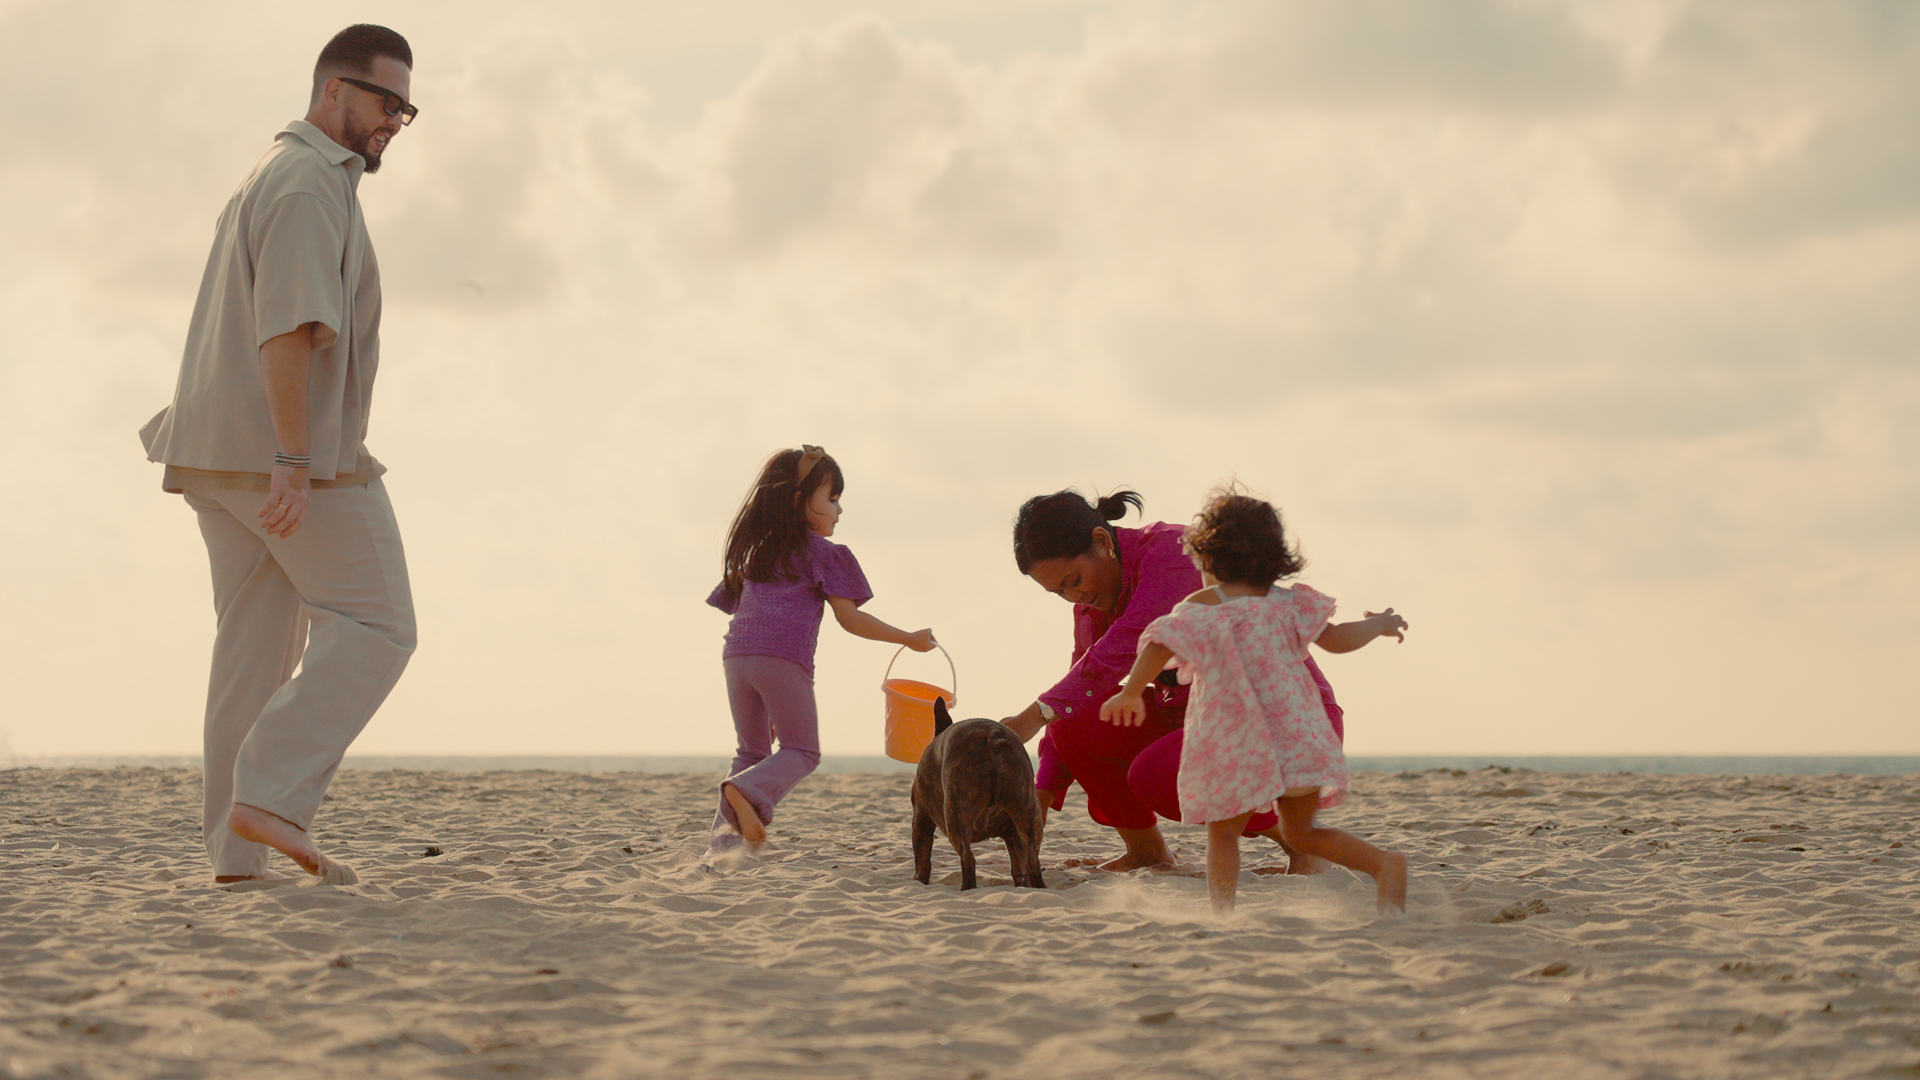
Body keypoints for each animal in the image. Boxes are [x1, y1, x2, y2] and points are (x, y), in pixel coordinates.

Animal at [906, 691, 1044, 887]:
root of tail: (992, 737)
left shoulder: (920, 819)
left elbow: (922, 858)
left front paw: (919, 880)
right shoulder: (1013, 835)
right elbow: (1019, 865)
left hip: (956, 816)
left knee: (968, 858)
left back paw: (967, 888)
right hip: (1028, 810)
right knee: (1032, 860)